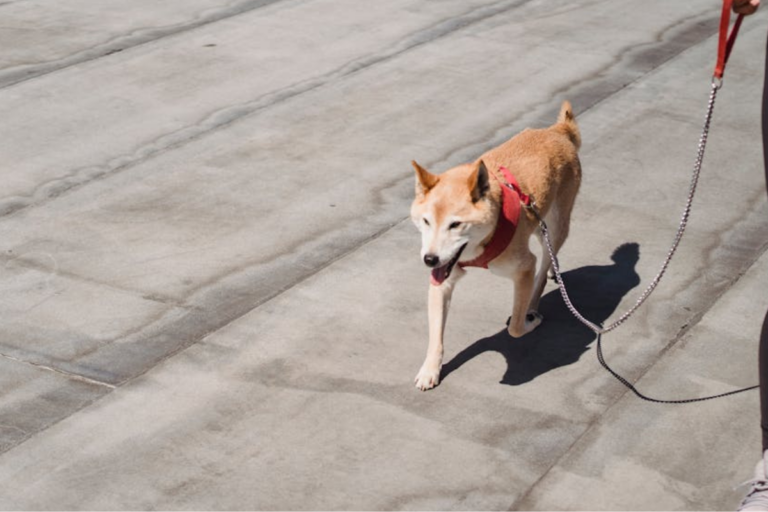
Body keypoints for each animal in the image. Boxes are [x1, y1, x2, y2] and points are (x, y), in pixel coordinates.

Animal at [408, 100, 584, 390]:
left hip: (557, 224)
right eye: (426, 221)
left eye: (455, 225)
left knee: (543, 266)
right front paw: (430, 369)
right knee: (548, 250)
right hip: (539, 223)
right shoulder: (443, 278)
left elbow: (515, 329)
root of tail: (556, 131)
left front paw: (527, 321)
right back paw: (553, 269)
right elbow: (436, 336)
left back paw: (533, 305)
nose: (429, 259)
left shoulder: (524, 266)